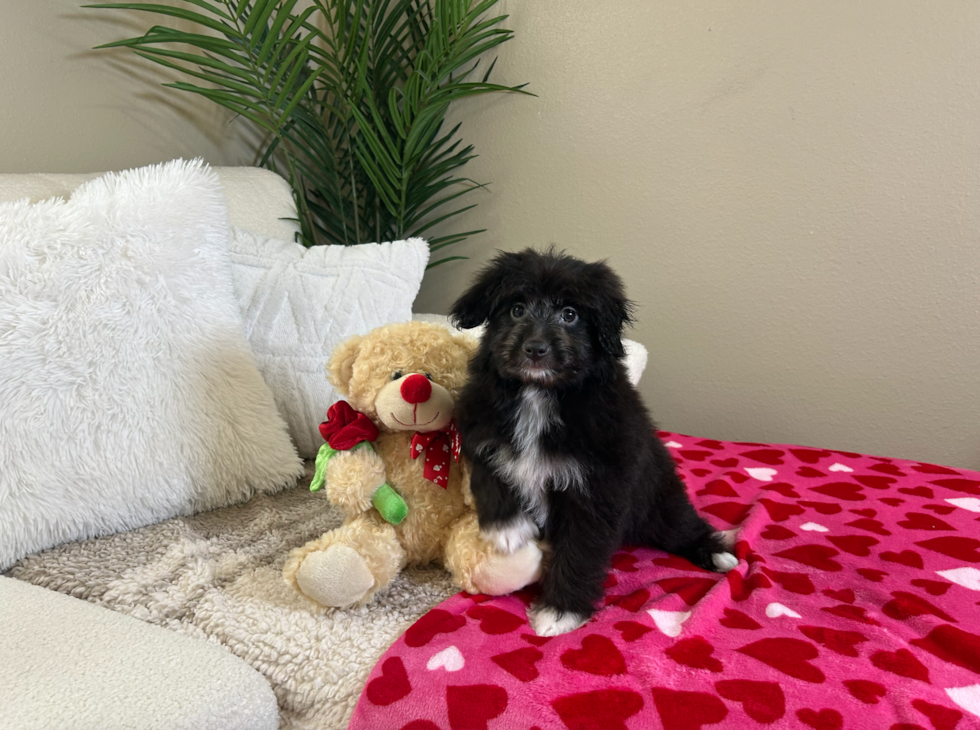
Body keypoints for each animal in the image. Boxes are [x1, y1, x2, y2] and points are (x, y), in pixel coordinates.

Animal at [452, 247, 736, 636]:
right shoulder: (479, 428)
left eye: (570, 315)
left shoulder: (597, 488)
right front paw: (508, 530)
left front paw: (560, 612)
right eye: (516, 309)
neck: (539, 394)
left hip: (660, 499)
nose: (535, 349)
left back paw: (716, 553)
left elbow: (580, 548)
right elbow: (488, 473)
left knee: (681, 525)